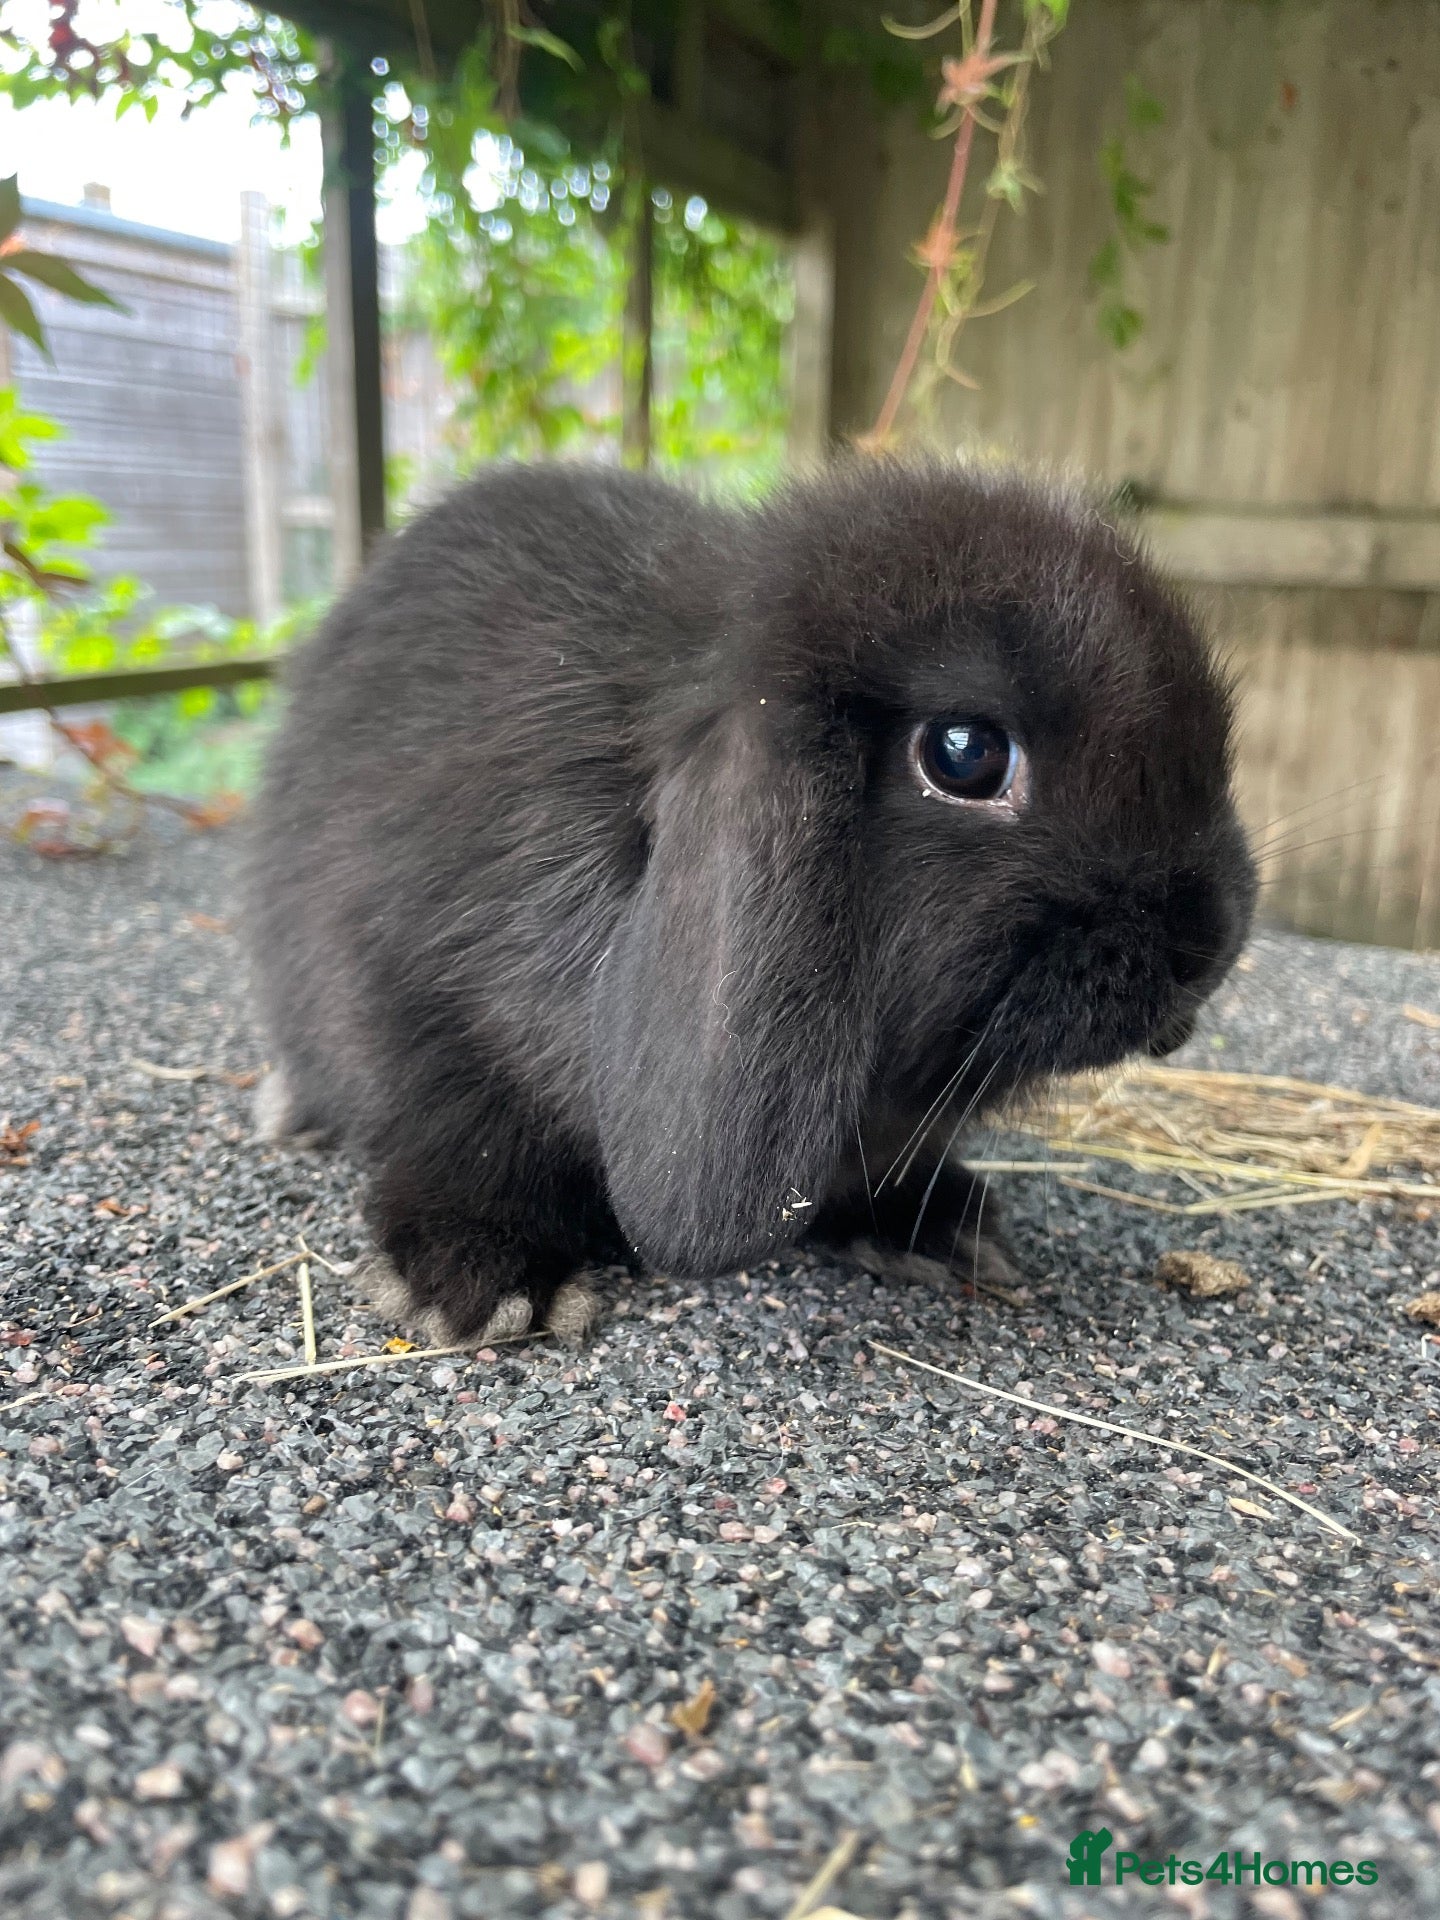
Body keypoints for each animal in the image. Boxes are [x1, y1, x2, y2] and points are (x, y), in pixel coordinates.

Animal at [245, 459, 1256, 1345]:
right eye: (965, 753)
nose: (1208, 944)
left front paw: (940, 1229)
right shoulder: (410, 1001)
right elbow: (458, 1137)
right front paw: (481, 1284)